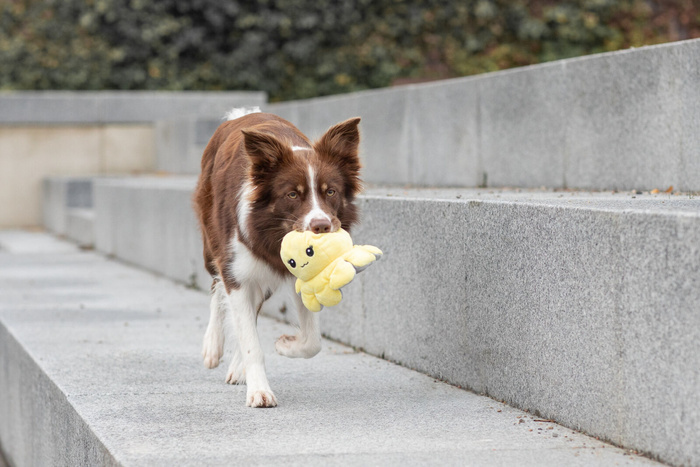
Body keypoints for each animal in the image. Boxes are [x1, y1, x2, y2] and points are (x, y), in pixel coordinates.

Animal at [194, 108, 364, 408]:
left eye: (330, 191)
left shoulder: (301, 274)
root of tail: (243, 115)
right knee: (216, 284)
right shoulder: (237, 270)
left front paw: (284, 345)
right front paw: (260, 392)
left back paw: (237, 366)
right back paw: (212, 347)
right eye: (292, 194)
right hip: (212, 238)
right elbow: (249, 338)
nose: (321, 226)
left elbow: (313, 341)